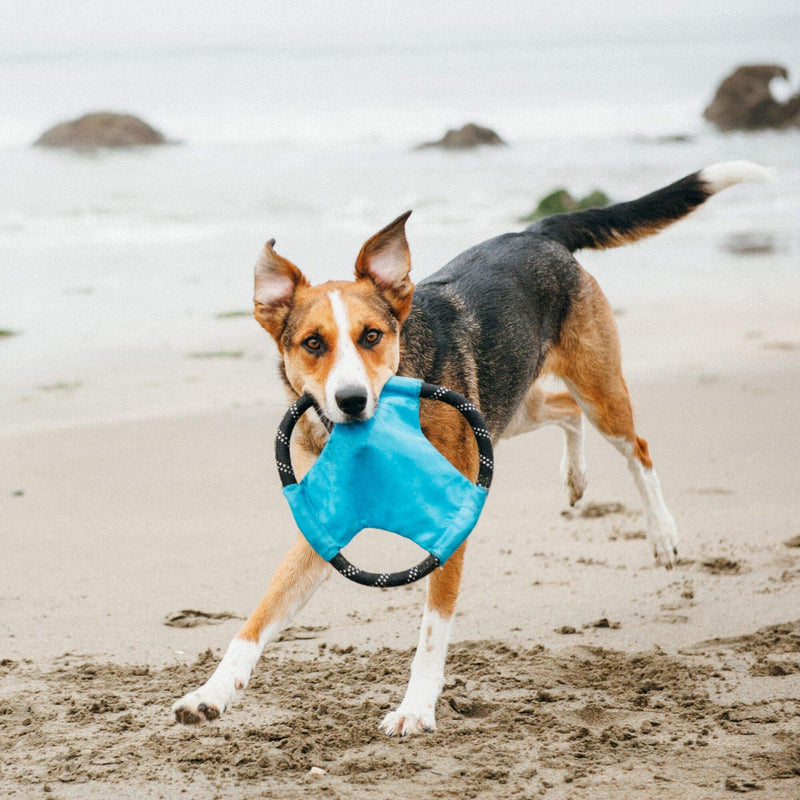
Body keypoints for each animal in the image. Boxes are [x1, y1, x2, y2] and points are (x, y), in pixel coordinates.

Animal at [173, 162, 768, 736]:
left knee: (635, 447)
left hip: (599, 389)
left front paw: (415, 708)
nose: (351, 400)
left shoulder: (449, 525)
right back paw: (574, 478)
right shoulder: (323, 526)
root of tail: (536, 232)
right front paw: (209, 695)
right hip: (513, 404)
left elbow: (431, 633)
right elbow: (256, 621)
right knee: (565, 412)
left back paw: (662, 534)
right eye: (312, 343)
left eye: (371, 337)